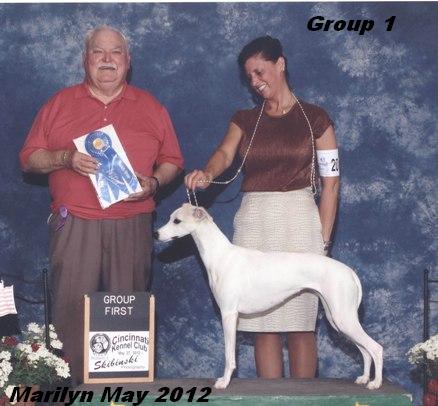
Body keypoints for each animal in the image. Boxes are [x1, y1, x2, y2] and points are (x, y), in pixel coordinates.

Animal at [155, 203, 383, 390]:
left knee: (376, 348)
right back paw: (364, 378)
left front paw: (224, 382)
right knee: (364, 350)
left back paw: (375, 383)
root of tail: (350, 272)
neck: (220, 255)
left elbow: (229, 355)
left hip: (343, 318)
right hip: (338, 320)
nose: (156, 234)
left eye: (177, 220)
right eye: (170, 217)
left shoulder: (229, 315)